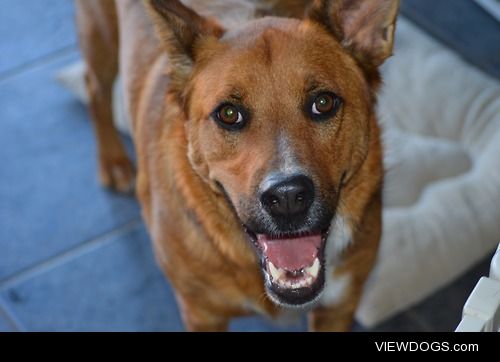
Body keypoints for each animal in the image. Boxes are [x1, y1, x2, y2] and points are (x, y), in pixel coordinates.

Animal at [76, 0, 400, 330]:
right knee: (94, 87)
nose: (287, 199)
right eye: (229, 114)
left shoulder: (337, 306)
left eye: (323, 103)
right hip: (99, 34)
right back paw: (113, 161)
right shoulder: (201, 314)